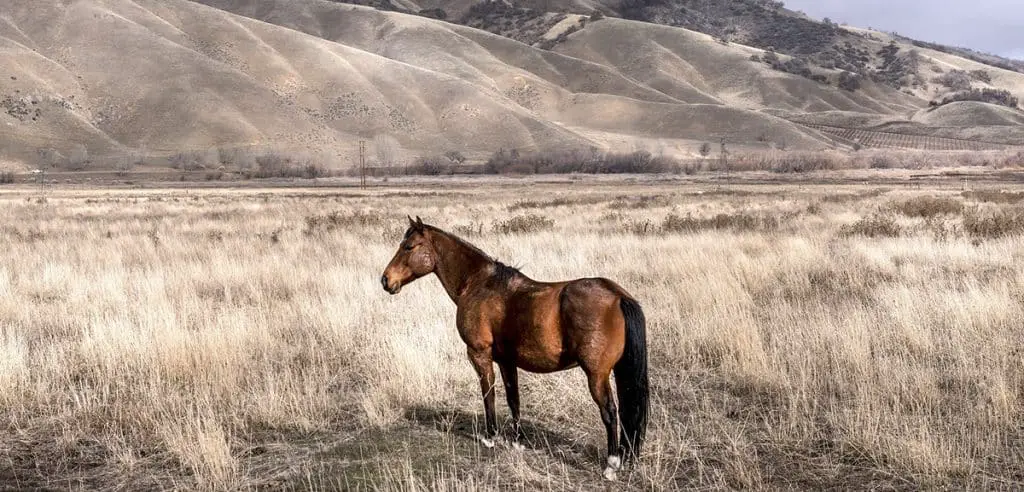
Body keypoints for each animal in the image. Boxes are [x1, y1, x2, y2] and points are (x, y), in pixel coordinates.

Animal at [380, 215, 651, 479]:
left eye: (409, 246)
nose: (385, 280)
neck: (479, 284)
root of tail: (618, 295)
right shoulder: (506, 360)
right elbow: (513, 398)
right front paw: (518, 441)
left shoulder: (479, 354)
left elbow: (489, 393)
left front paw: (491, 437)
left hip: (596, 375)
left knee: (610, 412)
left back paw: (611, 464)